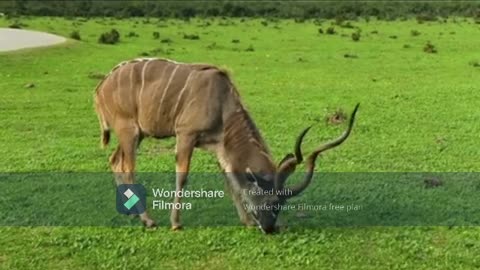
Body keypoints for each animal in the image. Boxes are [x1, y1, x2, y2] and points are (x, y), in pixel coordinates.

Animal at [94, 58, 358, 233]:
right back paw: (148, 220)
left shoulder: (219, 146)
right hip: (129, 131)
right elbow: (182, 177)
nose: (269, 228)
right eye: (272, 202)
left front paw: (247, 221)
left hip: (137, 134)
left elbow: (231, 182)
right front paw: (176, 223)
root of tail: (100, 87)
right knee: (128, 167)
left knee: (114, 160)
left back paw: (130, 210)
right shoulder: (186, 134)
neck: (223, 103)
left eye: (281, 205)